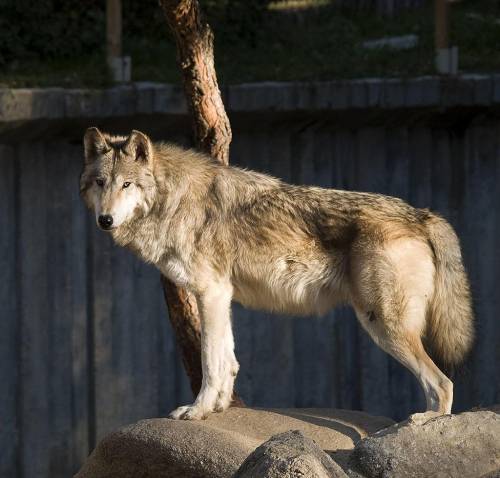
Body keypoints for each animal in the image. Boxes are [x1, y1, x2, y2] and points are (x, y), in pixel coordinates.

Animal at [80, 129, 474, 420]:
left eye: (127, 185)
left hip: (383, 324)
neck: (172, 199)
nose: (105, 220)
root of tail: (422, 214)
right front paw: (220, 407)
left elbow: (210, 362)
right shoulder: (220, 296)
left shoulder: (209, 293)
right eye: (100, 182)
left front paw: (198, 410)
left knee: (443, 384)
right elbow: (228, 359)